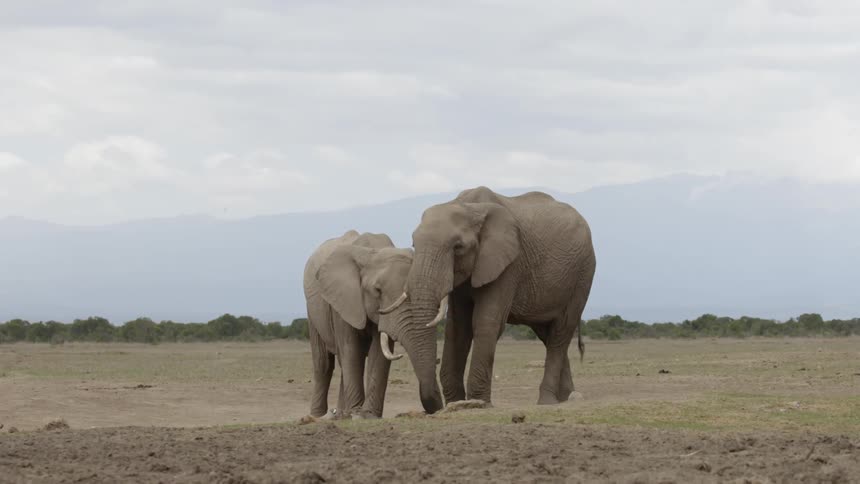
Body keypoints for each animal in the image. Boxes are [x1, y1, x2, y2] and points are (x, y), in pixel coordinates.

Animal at [303, 230, 443, 419]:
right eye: (377, 291)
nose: (436, 407)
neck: (372, 251)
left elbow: (379, 353)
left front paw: (367, 415)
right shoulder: (343, 301)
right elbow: (351, 350)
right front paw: (357, 414)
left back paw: (341, 414)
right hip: (313, 311)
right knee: (323, 364)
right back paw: (318, 416)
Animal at [381, 186, 596, 407]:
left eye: (458, 247)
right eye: (414, 244)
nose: (437, 405)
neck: (469, 207)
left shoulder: (508, 263)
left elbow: (485, 322)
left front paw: (478, 403)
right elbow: (458, 328)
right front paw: (457, 403)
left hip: (583, 274)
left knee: (561, 331)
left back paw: (547, 402)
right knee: (547, 334)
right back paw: (567, 397)